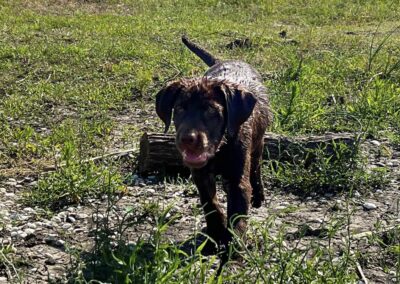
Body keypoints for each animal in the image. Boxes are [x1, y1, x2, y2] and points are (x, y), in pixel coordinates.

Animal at [155, 36, 270, 252]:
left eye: (211, 111)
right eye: (179, 109)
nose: (187, 139)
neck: (221, 149)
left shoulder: (238, 180)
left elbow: (238, 214)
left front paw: (233, 245)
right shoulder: (201, 176)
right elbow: (211, 205)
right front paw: (215, 236)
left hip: (258, 143)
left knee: (256, 167)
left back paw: (259, 195)